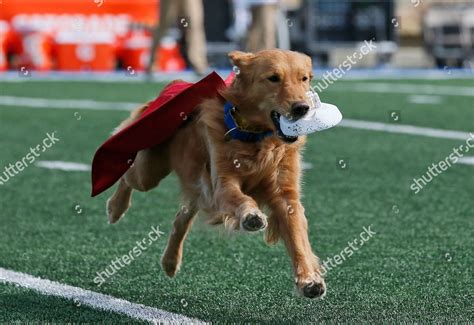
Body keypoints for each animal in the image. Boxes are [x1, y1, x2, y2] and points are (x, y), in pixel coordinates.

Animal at [107, 49, 326, 298]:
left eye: (304, 78)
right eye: (273, 78)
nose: (302, 108)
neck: (256, 139)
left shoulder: (286, 196)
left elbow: (298, 238)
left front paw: (309, 280)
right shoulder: (223, 185)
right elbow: (241, 199)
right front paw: (251, 215)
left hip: (197, 187)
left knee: (181, 216)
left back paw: (170, 261)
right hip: (149, 172)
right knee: (128, 175)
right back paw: (116, 208)